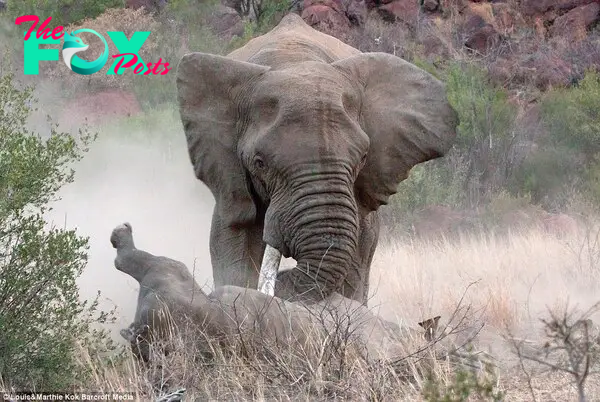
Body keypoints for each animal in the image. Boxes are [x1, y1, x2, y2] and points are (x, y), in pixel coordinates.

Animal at [176, 13, 458, 308]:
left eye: (363, 158)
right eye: (259, 163)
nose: (283, 279)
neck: (294, 61)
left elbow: (358, 254)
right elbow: (234, 236)